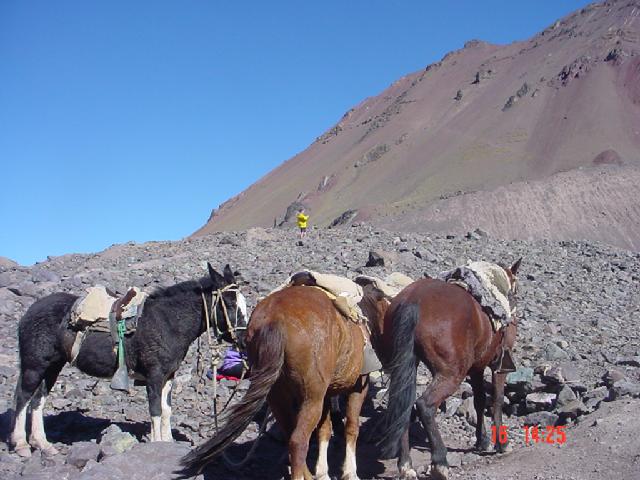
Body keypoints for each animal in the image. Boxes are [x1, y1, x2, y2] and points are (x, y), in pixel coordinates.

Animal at [10, 263, 248, 458]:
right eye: (229, 303)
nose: (245, 339)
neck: (169, 322)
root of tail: (29, 312)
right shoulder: (154, 375)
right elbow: (155, 410)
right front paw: (157, 444)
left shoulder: (169, 376)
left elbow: (167, 410)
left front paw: (168, 442)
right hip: (35, 365)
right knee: (23, 397)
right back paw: (22, 445)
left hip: (52, 366)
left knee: (38, 399)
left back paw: (43, 445)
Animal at [180, 278, 391, 480]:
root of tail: (276, 319)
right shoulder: (358, 386)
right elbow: (351, 427)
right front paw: (350, 473)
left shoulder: (326, 394)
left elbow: (324, 429)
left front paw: (322, 473)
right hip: (310, 398)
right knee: (298, 441)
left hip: (278, 396)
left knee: (291, 435)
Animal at [376, 259, 521, 480]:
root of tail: (412, 301)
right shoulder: (498, 367)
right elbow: (496, 400)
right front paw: (502, 444)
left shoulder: (476, 368)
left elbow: (479, 401)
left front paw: (482, 441)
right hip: (451, 373)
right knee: (425, 405)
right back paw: (440, 462)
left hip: (407, 366)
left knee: (404, 405)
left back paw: (406, 465)